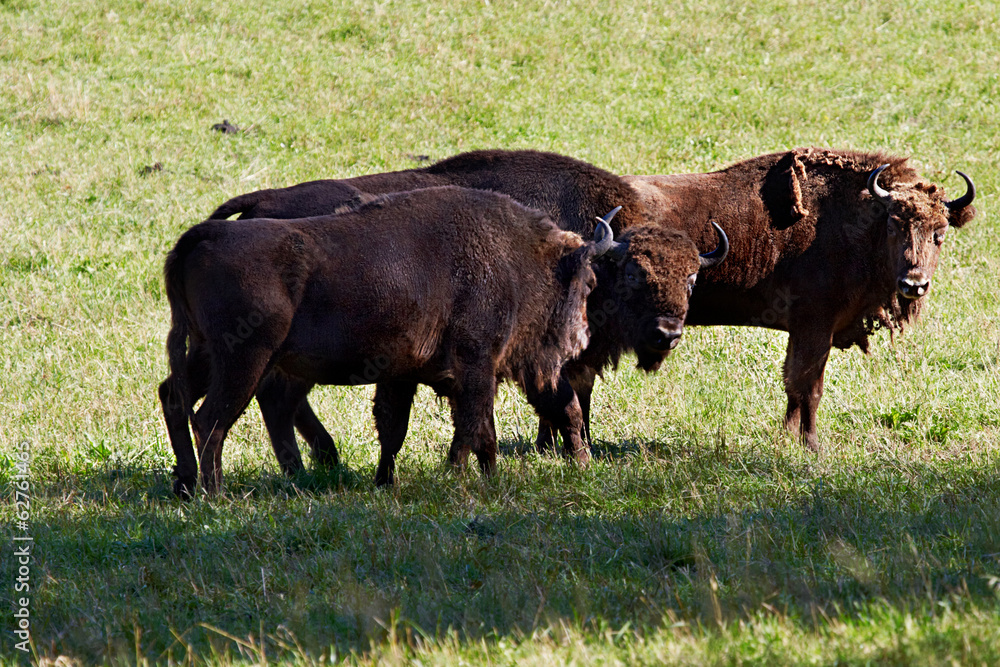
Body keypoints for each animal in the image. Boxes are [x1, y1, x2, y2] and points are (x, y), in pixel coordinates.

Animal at [209, 150, 728, 474]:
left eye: (690, 277)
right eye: (636, 274)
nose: (667, 333)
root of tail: (264, 200)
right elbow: (561, 406)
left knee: (280, 400)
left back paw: (319, 466)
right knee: (276, 398)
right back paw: (317, 465)